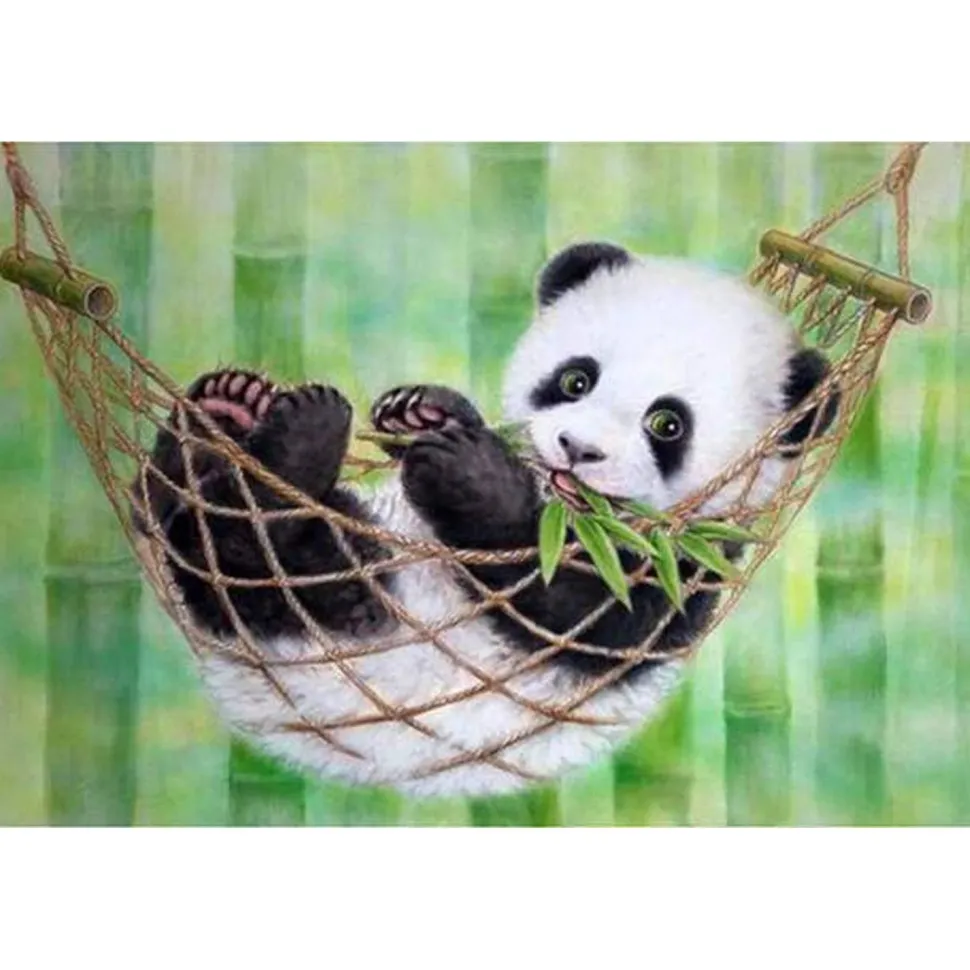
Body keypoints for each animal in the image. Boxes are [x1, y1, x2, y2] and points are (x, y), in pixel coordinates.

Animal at [131, 241, 836, 798]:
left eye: (667, 424)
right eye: (576, 379)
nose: (577, 449)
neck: (569, 514)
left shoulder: (679, 575)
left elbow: (574, 610)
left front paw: (467, 472)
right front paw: (426, 412)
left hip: (343, 611)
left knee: (260, 557)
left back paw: (294, 444)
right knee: (162, 510)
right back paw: (222, 412)